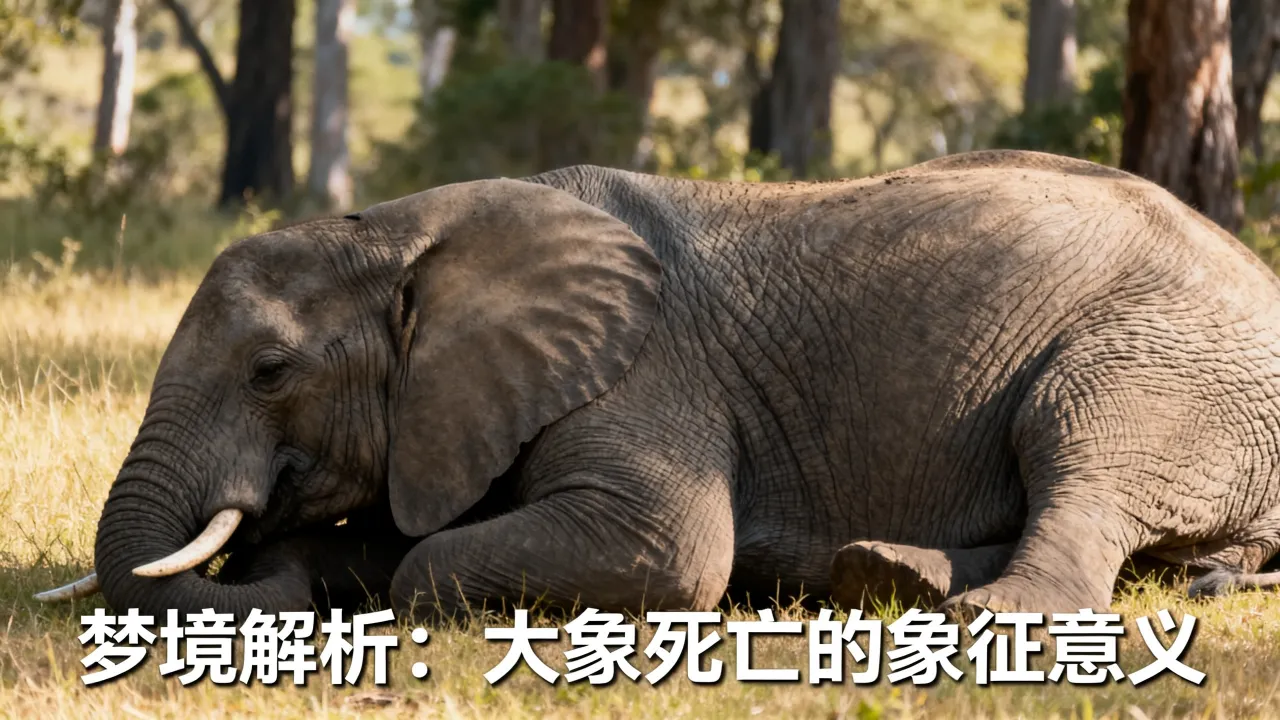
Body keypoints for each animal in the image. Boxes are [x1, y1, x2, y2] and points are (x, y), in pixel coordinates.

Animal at [36, 149, 1280, 620]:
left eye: (269, 370)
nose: (247, 555)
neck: (410, 228)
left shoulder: (643, 379)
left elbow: (662, 547)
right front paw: (311, 571)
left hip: (1165, 356)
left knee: (1081, 450)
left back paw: (980, 612)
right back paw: (883, 572)